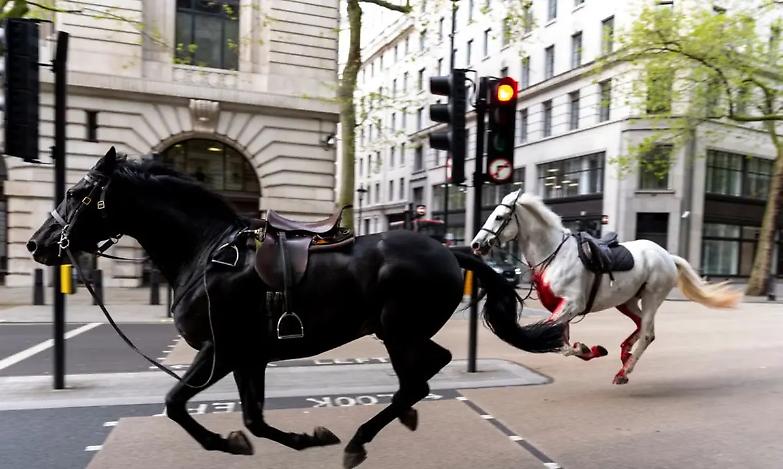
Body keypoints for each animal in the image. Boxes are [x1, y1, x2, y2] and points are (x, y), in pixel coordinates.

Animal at [27, 148, 564, 468]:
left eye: (76, 193)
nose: (37, 244)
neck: (206, 253)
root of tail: (449, 251)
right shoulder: (248, 356)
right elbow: (253, 419)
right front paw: (298, 439)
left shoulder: (220, 350)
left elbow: (177, 403)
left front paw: (226, 442)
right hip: (400, 331)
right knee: (430, 368)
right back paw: (398, 418)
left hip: (396, 331)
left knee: (417, 379)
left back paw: (360, 439)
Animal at [471, 190, 742, 385]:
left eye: (499, 216)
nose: (476, 244)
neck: (554, 255)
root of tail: (667, 255)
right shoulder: (562, 308)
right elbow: (560, 342)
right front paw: (589, 349)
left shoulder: (571, 305)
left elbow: (549, 340)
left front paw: (585, 348)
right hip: (627, 301)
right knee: (641, 326)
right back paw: (625, 355)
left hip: (652, 297)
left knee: (647, 333)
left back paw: (624, 371)